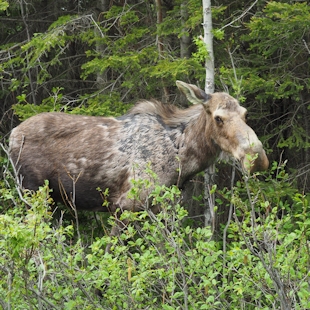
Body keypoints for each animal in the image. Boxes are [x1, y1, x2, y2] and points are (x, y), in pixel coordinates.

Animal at [8, 80, 268, 235]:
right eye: (218, 117)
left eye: (245, 114)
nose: (257, 158)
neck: (182, 159)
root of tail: (11, 136)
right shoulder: (125, 205)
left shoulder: (161, 206)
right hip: (33, 193)